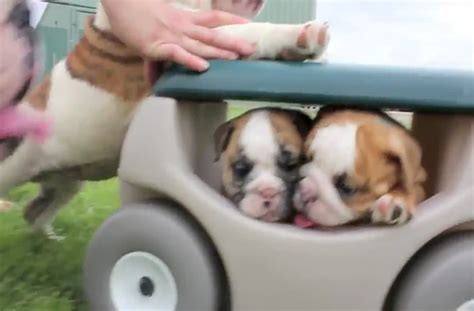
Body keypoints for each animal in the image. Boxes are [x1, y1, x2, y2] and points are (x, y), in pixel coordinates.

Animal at [294, 108, 428, 229]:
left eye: (347, 188)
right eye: (304, 159)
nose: (305, 191)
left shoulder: (419, 179)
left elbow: (412, 188)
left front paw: (396, 201)